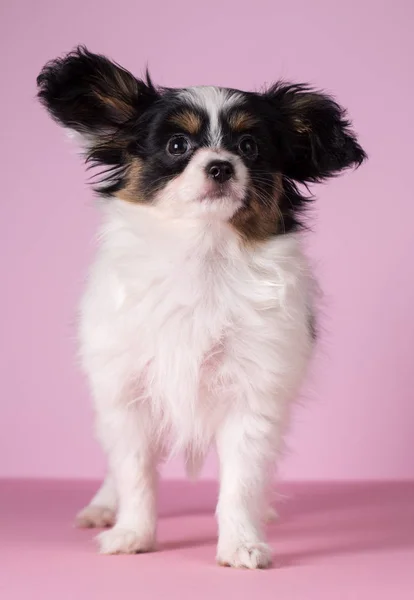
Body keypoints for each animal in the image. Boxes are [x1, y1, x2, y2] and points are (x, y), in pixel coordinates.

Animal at [36, 45, 366, 568]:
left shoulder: (254, 394)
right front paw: (132, 533)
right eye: (177, 146)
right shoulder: (127, 391)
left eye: (249, 148)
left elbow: (241, 482)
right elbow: (134, 473)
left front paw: (242, 543)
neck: (204, 254)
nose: (220, 166)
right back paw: (104, 507)